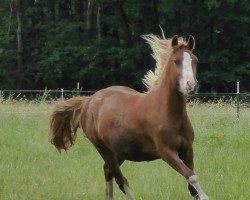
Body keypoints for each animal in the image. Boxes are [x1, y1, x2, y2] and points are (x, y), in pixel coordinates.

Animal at [48, 34, 209, 200]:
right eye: (176, 61)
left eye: (195, 60)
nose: (191, 86)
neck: (168, 113)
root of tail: (89, 101)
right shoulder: (167, 152)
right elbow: (191, 176)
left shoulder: (187, 149)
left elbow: (192, 185)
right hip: (103, 149)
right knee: (121, 180)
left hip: (119, 151)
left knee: (108, 171)